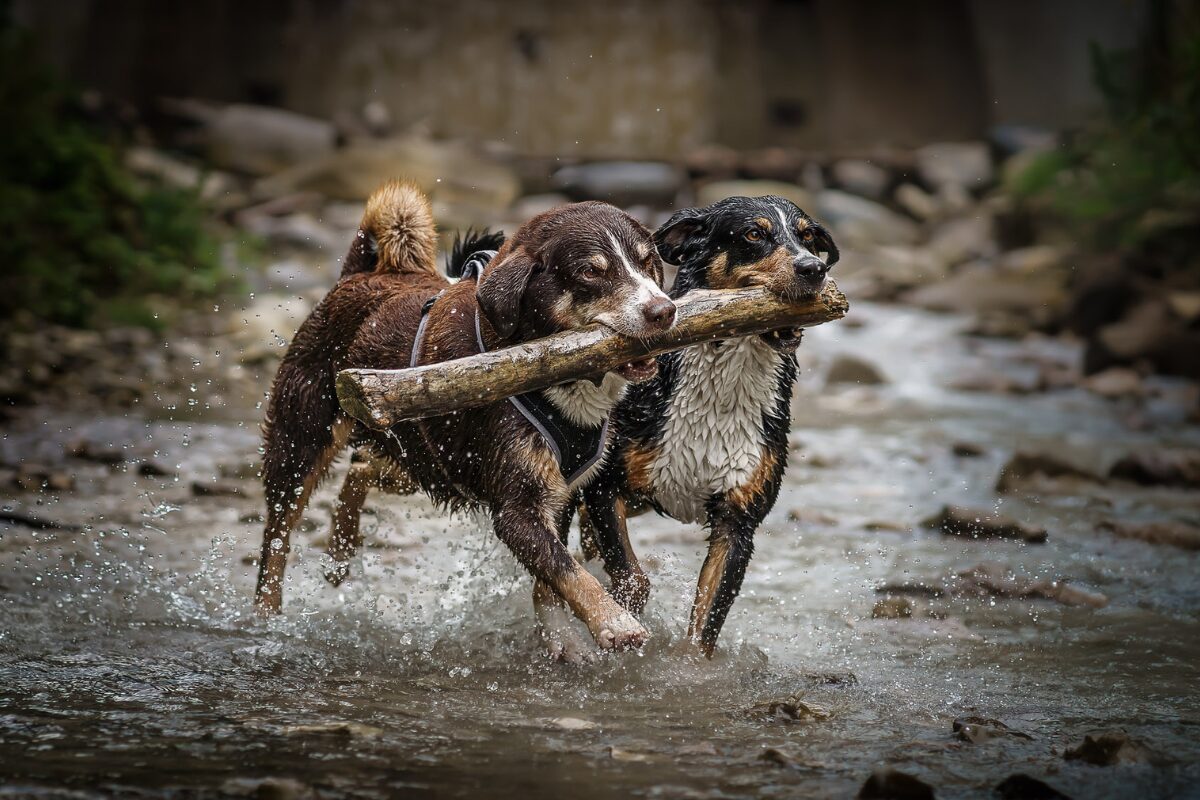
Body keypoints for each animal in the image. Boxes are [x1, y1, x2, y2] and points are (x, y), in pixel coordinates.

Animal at [254, 181, 681, 657]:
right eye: (591, 272)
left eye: (647, 262)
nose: (664, 311)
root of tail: (358, 274)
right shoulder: (518, 509)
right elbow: (566, 570)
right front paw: (613, 622)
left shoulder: (563, 492)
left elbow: (555, 580)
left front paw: (559, 637)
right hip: (301, 445)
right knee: (276, 536)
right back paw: (266, 616)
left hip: (425, 462)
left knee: (363, 468)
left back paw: (340, 552)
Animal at [578, 195, 840, 657]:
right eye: (753, 234)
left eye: (809, 237)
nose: (813, 269)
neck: (725, 387)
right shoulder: (605, 488)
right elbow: (631, 577)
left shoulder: (738, 523)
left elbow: (705, 622)